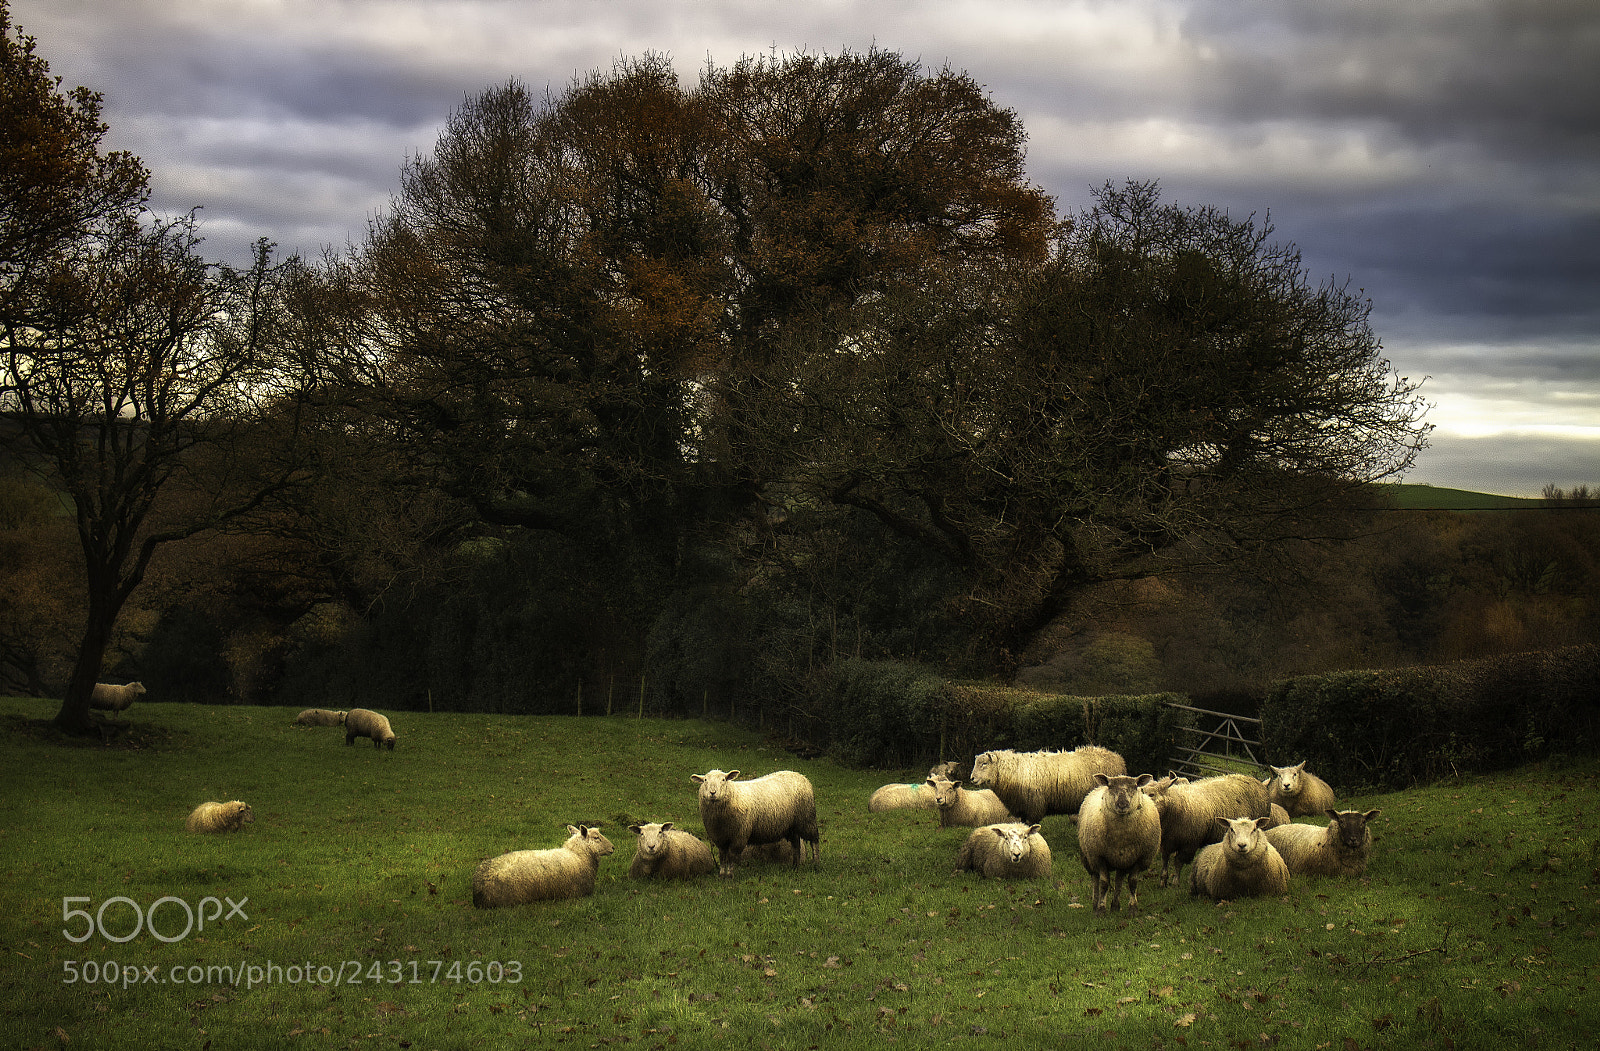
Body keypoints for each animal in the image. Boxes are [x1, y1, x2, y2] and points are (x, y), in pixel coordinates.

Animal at [691, 769, 820, 875]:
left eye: (723, 779)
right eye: (705, 780)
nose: (713, 793)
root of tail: (799, 775)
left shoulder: (739, 835)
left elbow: (732, 856)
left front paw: (730, 876)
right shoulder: (719, 837)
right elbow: (722, 857)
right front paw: (722, 875)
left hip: (807, 819)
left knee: (814, 840)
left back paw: (815, 864)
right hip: (792, 826)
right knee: (796, 844)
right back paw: (795, 866)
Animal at [967, 745, 1127, 825]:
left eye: (984, 763)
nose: (972, 779)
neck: (1015, 771)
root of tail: (1117, 757)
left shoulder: (1034, 806)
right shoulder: (1023, 806)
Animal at [1076, 773, 1161, 912]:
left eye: (1135, 786)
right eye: (1110, 786)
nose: (1122, 804)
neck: (1121, 837)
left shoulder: (1140, 858)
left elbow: (1132, 882)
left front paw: (1133, 908)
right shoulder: (1099, 858)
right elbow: (1104, 883)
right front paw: (1101, 909)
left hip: (1122, 860)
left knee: (1119, 880)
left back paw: (1115, 906)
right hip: (1088, 857)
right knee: (1095, 879)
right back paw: (1095, 904)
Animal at [1140, 772, 1272, 888]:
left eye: (1151, 794)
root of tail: (1255, 780)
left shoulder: (1189, 844)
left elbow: (1178, 862)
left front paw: (1175, 882)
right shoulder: (1167, 842)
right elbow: (1165, 860)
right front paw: (1163, 881)